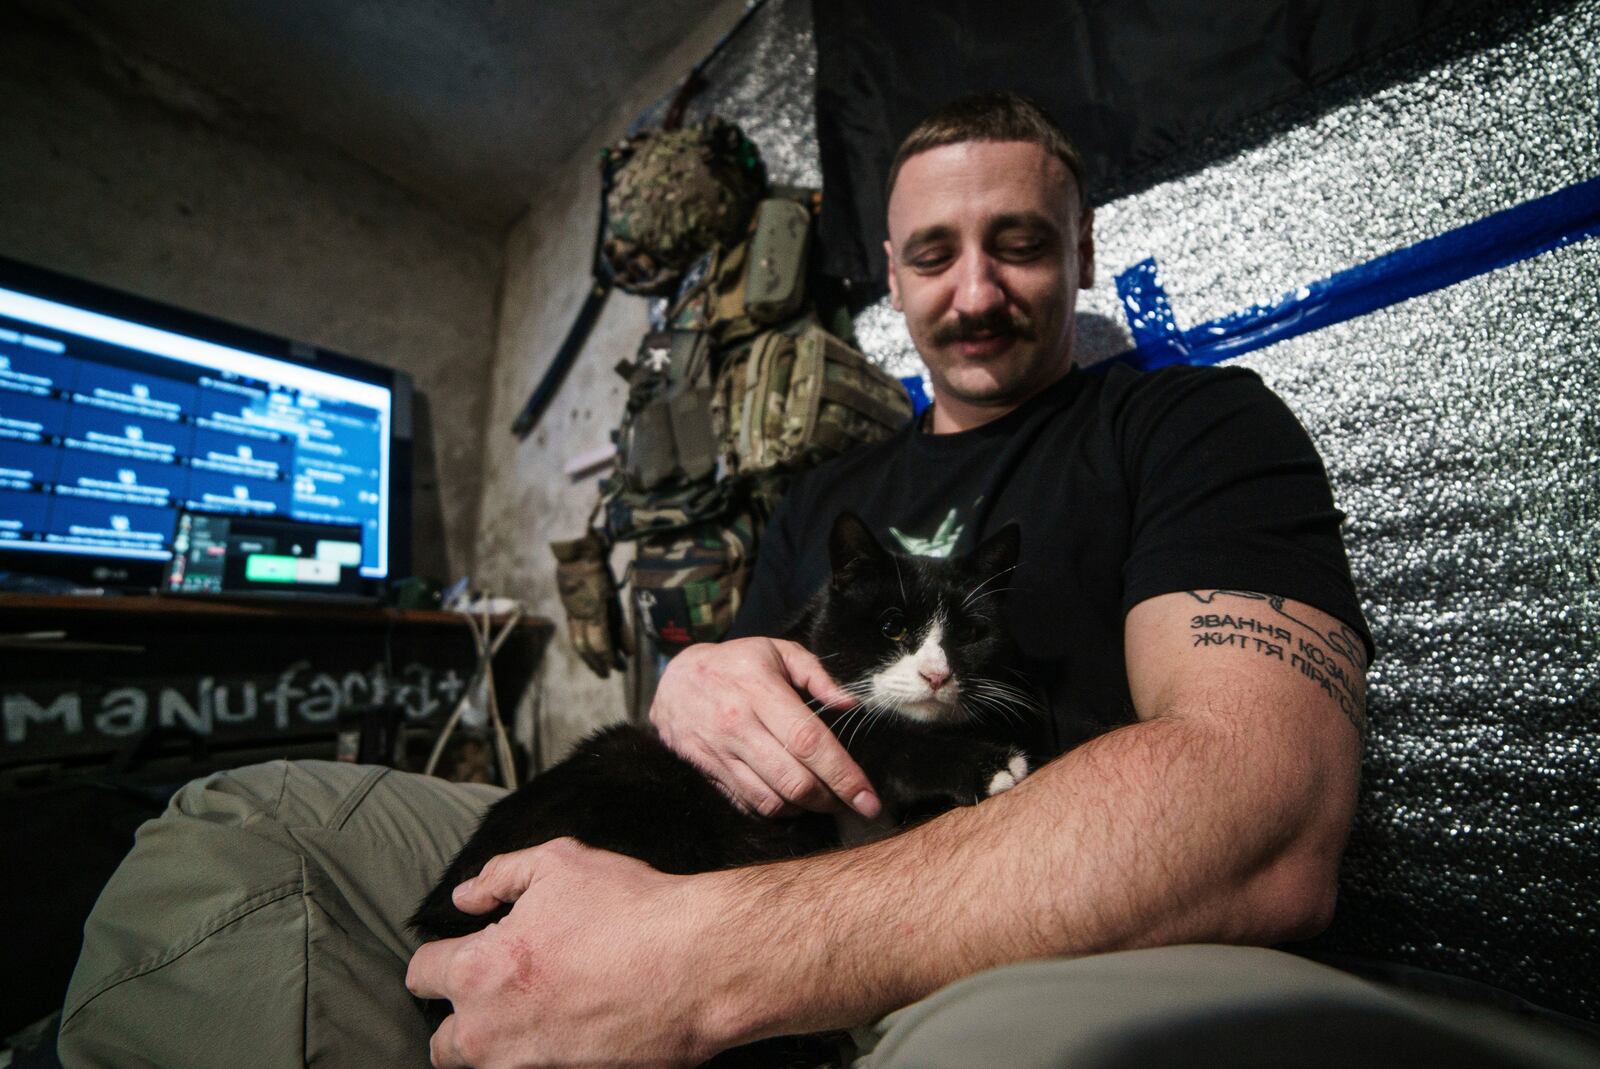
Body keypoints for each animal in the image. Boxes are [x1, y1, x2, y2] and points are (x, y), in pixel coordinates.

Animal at [409, 508, 1036, 934]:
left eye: (970, 633)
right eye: (892, 628)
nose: (936, 674)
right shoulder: (806, 709)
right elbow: (883, 740)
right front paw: (988, 763)